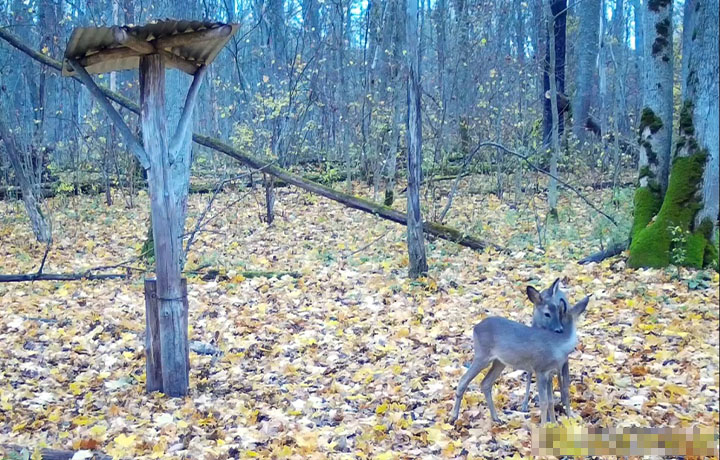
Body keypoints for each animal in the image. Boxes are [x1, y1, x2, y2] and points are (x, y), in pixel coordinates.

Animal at [450, 292, 592, 424]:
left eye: (558, 314)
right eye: (548, 314)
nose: (559, 329)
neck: (558, 346)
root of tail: (475, 327)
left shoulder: (550, 372)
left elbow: (551, 401)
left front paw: (554, 424)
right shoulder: (540, 369)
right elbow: (544, 402)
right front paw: (544, 426)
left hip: (499, 361)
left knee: (485, 383)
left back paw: (496, 418)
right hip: (482, 354)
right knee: (463, 380)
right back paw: (453, 417)